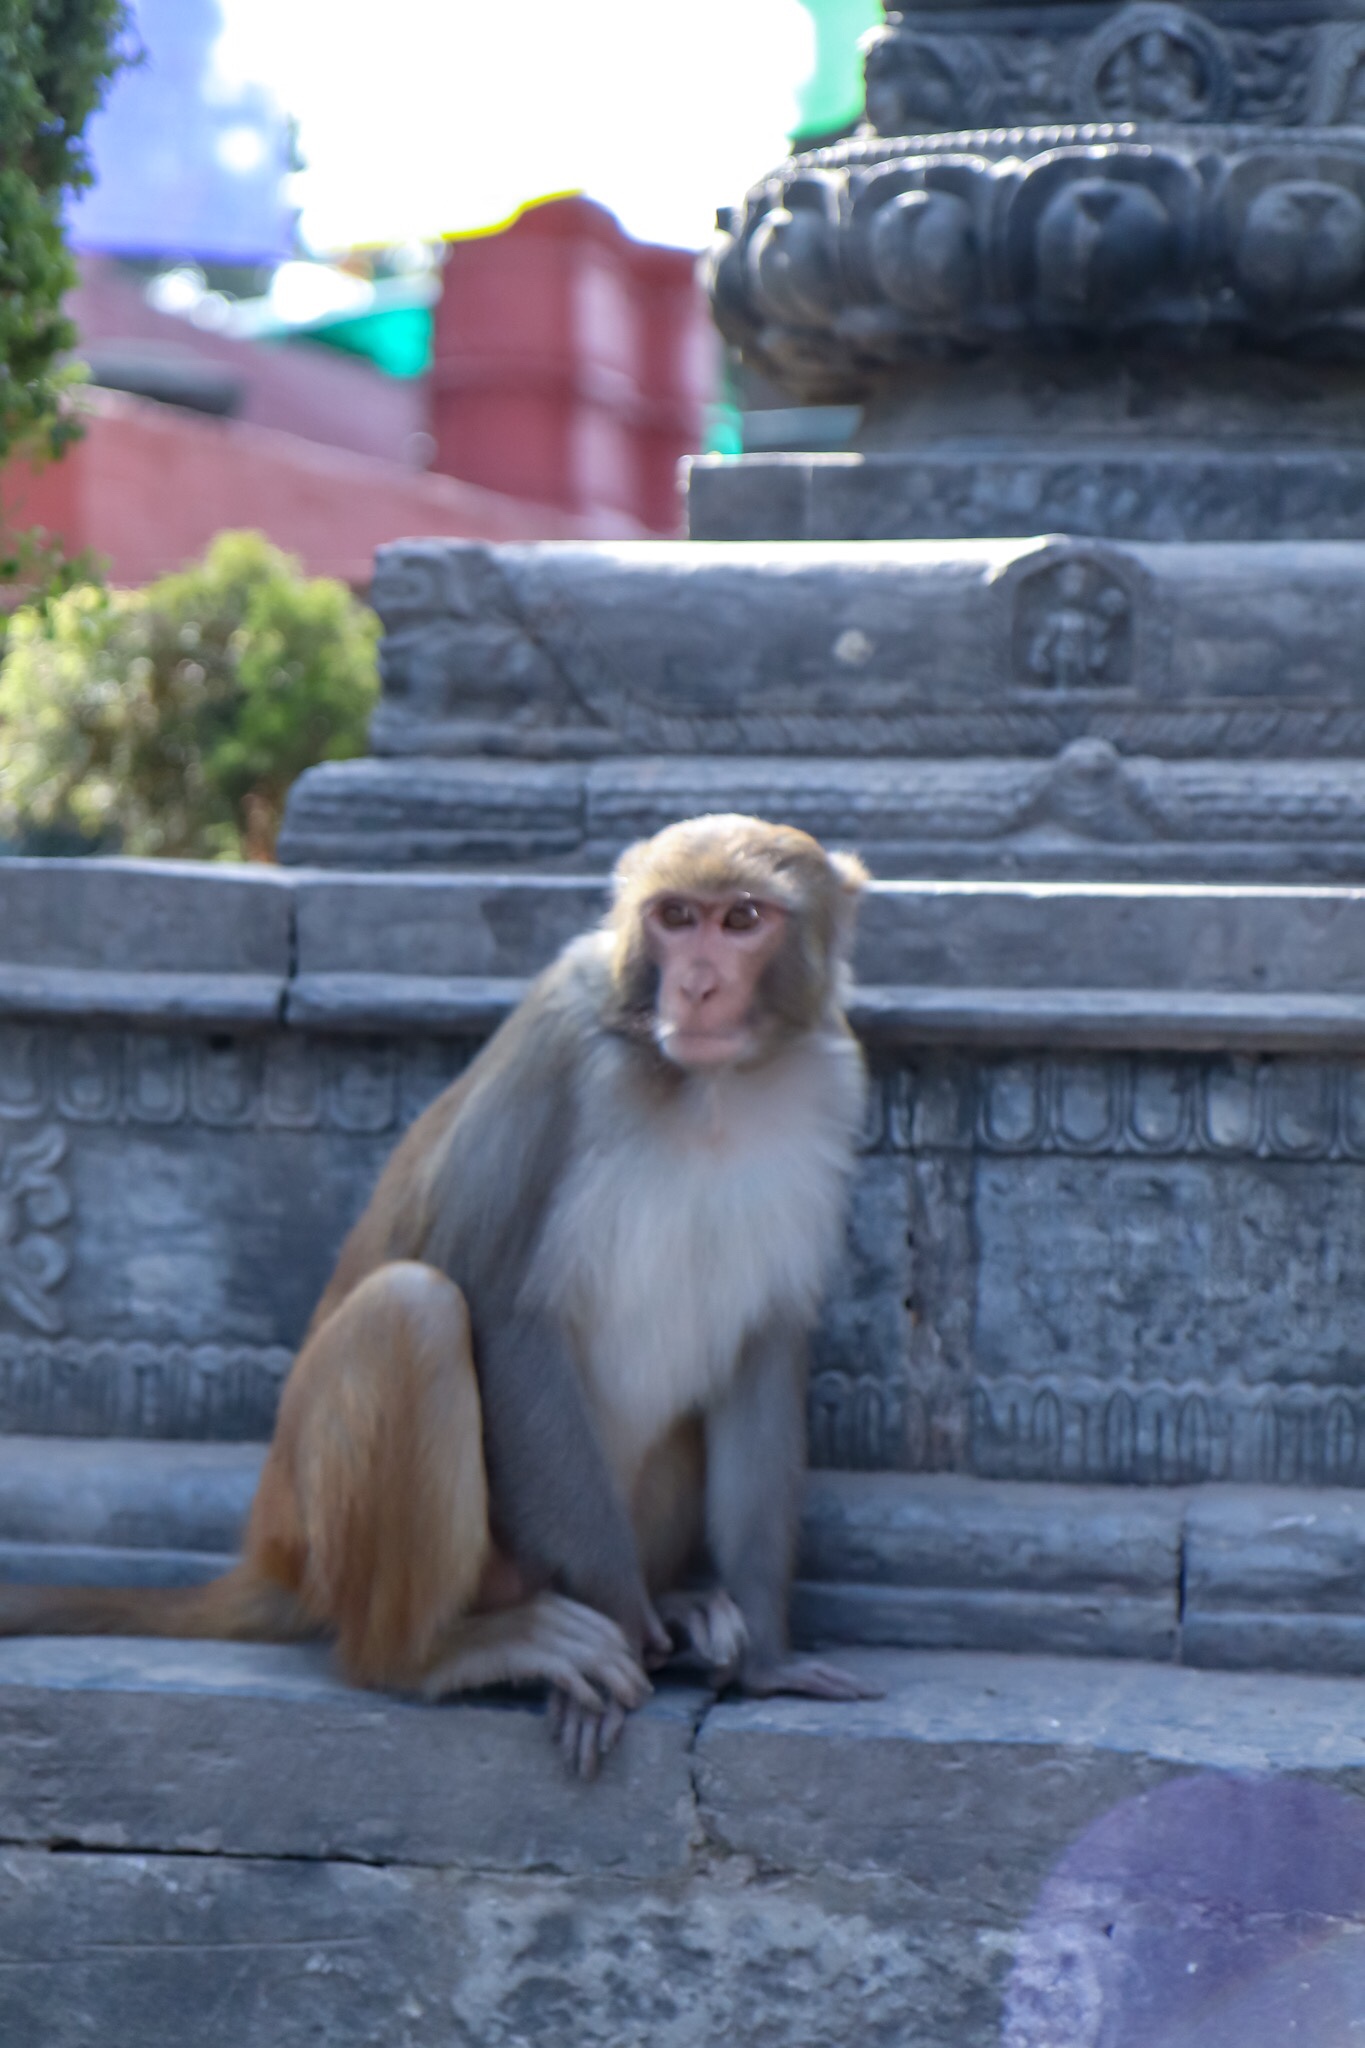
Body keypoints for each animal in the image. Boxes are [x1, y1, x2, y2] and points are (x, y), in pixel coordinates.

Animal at [0, 814, 878, 1776]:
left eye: (742, 919)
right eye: (675, 917)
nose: (695, 984)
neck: (709, 1088)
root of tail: (272, 1553)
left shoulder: (829, 1084)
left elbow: (765, 1351)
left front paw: (764, 1660)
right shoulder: (554, 1043)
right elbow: (498, 1304)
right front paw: (626, 1620)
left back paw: (678, 1605)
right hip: (335, 1539)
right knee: (411, 1313)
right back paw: (440, 1653)